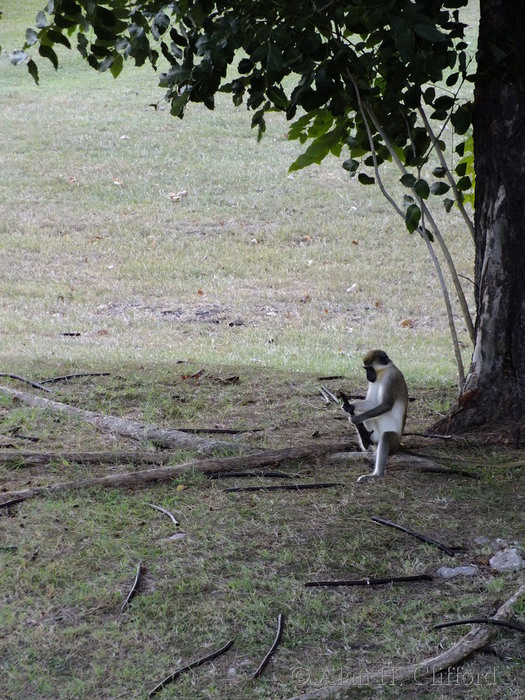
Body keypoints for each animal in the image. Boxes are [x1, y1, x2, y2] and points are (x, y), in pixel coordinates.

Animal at [347, 350, 408, 482]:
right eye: (365, 369)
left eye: (370, 369)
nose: (368, 376)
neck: (383, 372)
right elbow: (372, 402)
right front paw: (349, 407)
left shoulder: (392, 377)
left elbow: (386, 405)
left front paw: (356, 418)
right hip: (376, 438)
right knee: (369, 419)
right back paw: (366, 442)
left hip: (394, 443)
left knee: (386, 436)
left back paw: (377, 474)